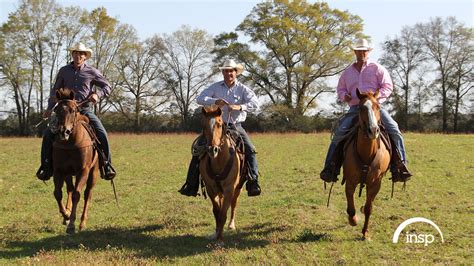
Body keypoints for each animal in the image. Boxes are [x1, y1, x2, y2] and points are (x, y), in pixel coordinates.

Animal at [51, 88, 99, 234]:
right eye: (57, 110)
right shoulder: (59, 171)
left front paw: (72, 224)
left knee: (87, 194)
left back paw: (82, 222)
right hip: (68, 174)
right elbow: (58, 193)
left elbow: (77, 194)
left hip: (93, 173)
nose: (63, 132)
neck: (70, 143)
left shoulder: (83, 171)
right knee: (69, 190)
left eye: (72, 110)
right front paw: (66, 215)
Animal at [199, 105, 243, 242]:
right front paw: (217, 233)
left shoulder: (229, 188)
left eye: (219, 124)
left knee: (234, 204)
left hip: (237, 188)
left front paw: (220, 239)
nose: (213, 149)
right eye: (204, 125)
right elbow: (217, 212)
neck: (219, 161)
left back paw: (231, 225)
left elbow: (223, 213)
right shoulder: (210, 188)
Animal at [342, 90, 390, 241]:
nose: (373, 130)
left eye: (378, 106)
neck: (367, 154)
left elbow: (369, 208)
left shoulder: (375, 183)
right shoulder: (350, 182)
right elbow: (351, 208)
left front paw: (365, 232)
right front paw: (353, 220)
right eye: (360, 107)